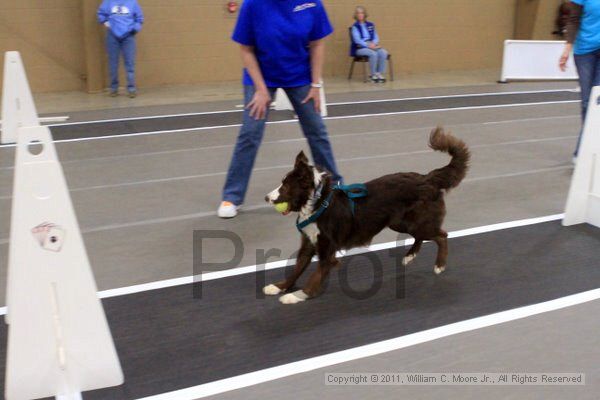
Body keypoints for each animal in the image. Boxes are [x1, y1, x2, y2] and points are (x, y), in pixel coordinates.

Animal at [264, 127, 468, 304]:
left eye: (285, 187)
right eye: (282, 183)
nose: (266, 198)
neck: (318, 202)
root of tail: (428, 178)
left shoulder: (327, 252)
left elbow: (314, 277)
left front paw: (297, 296)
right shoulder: (308, 244)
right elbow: (296, 269)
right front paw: (279, 287)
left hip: (416, 223)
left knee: (442, 235)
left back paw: (439, 265)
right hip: (401, 222)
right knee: (423, 236)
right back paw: (409, 256)